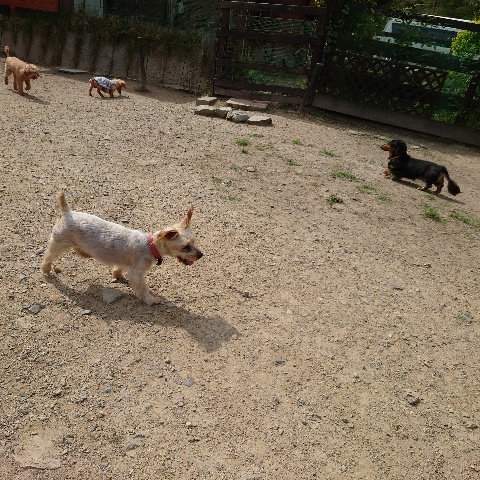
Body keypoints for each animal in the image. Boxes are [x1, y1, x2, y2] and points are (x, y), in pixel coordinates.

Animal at [41, 192, 203, 305]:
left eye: (194, 242)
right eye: (186, 247)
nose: (201, 255)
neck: (150, 246)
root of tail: (67, 212)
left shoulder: (125, 264)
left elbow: (118, 268)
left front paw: (117, 275)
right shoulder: (137, 273)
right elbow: (143, 288)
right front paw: (150, 300)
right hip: (60, 242)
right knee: (48, 256)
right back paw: (46, 270)